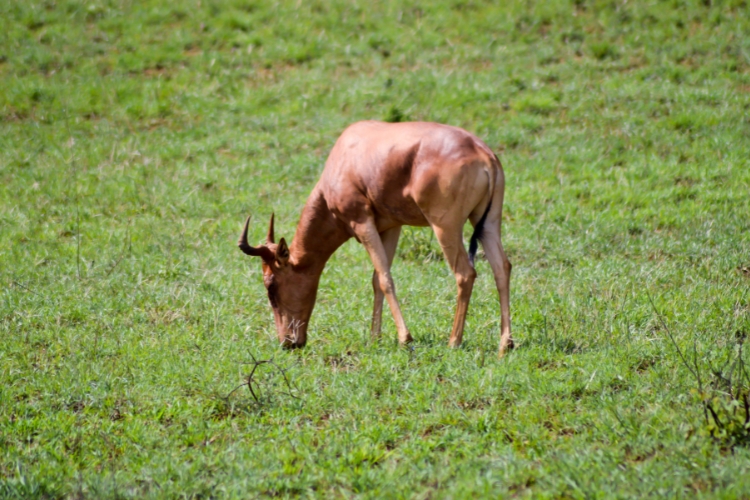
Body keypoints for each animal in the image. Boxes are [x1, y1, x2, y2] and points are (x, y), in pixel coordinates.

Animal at [238, 120, 516, 356]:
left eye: (271, 285)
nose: (288, 342)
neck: (346, 154)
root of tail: (483, 154)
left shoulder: (361, 221)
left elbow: (384, 278)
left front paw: (405, 338)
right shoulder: (390, 227)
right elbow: (376, 279)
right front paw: (375, 338)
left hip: (444, 225)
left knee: (465, 273)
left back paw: (454, 341)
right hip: (488, 222)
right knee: (502, 268)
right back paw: (506, 343)